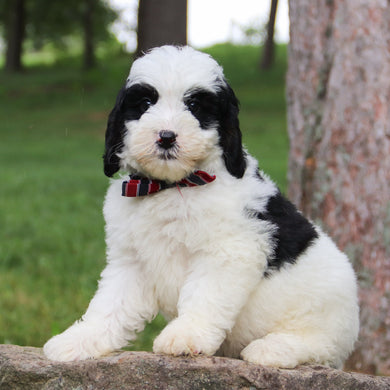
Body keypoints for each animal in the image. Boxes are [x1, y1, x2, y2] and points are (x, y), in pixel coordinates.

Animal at [43, 45, 360, 368]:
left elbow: (204, 296)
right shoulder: (131, 261)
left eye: (195, 106)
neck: (173, 187)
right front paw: (79, 341)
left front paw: (185, 336)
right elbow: (109, 305)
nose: (166, 136)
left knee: (319, 346)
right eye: (145, 102)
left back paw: (273, 348)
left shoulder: (228, 251)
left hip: (324, 316)